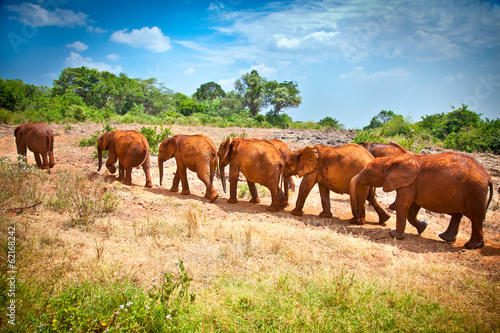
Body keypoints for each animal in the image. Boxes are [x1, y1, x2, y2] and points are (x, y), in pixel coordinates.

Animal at [350, 152, 494, 248]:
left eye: (369, 173)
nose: (355, 218)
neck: (392, 159)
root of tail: (487, 176)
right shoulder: (414, 184)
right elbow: (412, 208)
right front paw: (422, 228)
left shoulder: (409, 183)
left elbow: (404, 204)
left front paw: (394, 235)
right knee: (459, 215)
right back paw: (447, 239)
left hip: (475, 191)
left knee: (475, 218)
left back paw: (471, 246)